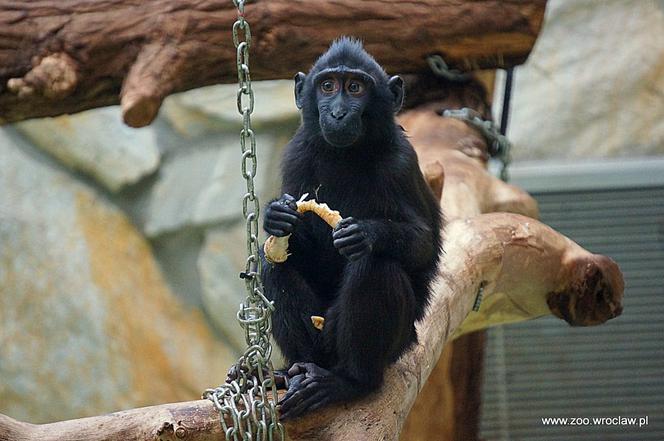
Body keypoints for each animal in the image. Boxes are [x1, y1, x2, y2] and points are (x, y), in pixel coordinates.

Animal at [260, 37, 440, 416]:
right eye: (328, 86)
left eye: (355, 88)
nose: (338, 113)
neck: (346, 155)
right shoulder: (297, 154)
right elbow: (296, 249)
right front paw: (277, 217)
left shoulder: (400, 162)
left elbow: (422, 245)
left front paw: (365, 234)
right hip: (321, 340)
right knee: (274, 265)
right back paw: (295, 370)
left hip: (393, 342)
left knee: (376, 267)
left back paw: (350, 381)